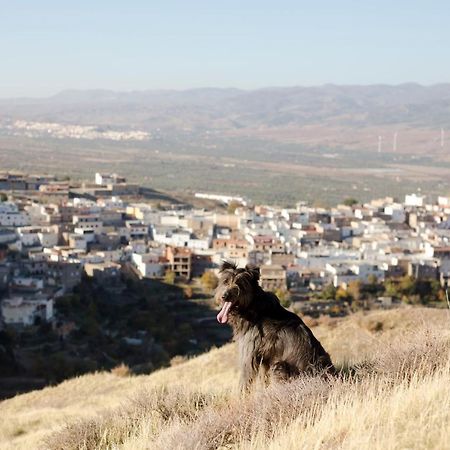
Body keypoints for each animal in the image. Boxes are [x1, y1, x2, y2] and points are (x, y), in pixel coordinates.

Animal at [216, 260, 336, 390]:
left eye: (240, 284)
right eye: (225, 281)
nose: (224, 296)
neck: (253, 306)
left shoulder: (249, 356)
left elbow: (245, 382)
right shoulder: (264, 360)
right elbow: (264, 379)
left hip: (279, 366)